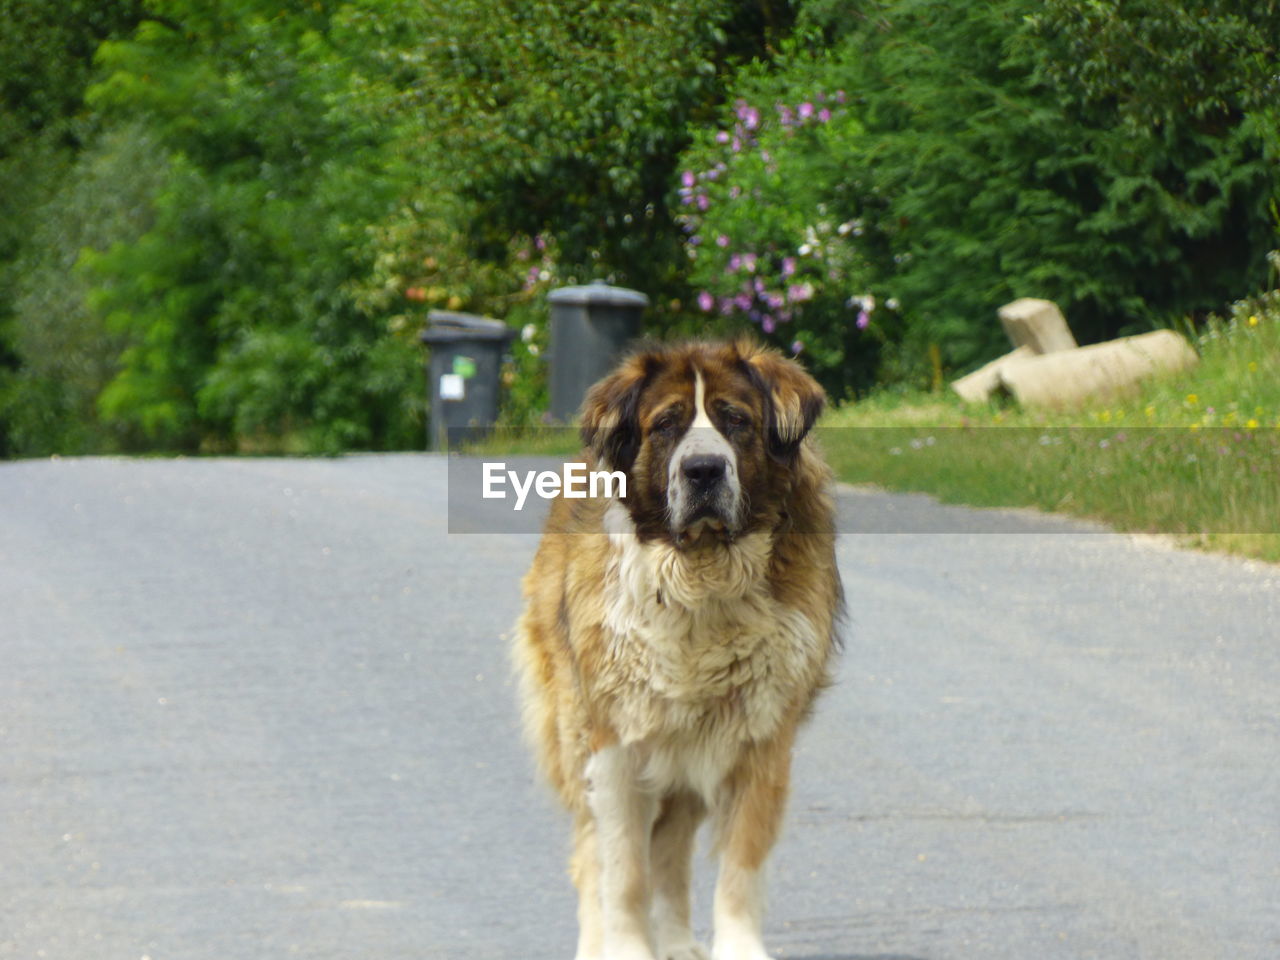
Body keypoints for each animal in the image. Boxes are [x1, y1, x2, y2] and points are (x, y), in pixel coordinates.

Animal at [509, 340, 839, 960]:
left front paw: (737, 947)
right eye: (666, 424)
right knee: (593, 855)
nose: (703, 469)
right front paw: (626, 948)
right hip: (576, 728)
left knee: (672, 847)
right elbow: (623, 871)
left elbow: (739, 864)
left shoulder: (760, 742)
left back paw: (680, 943)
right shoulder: (615, 745)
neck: (702, 579)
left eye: (736, 420)